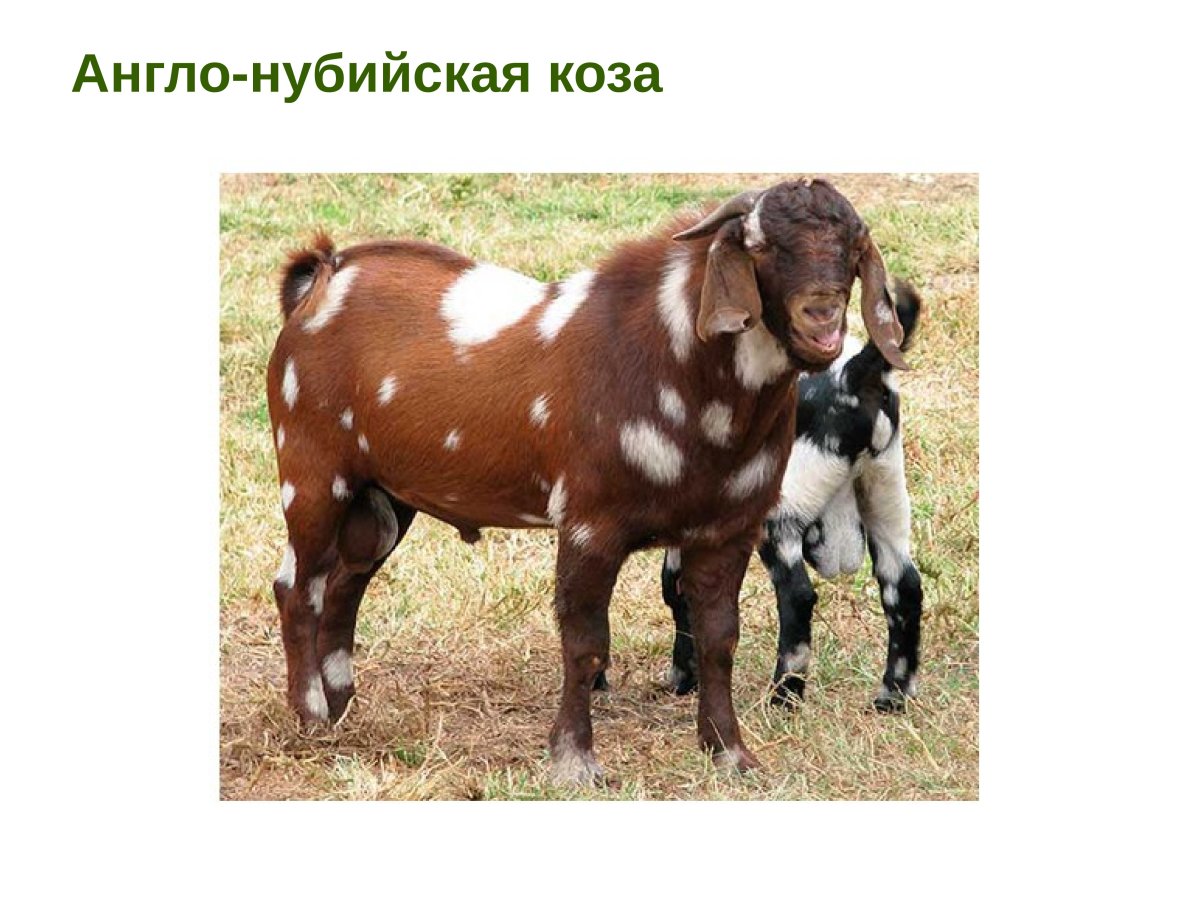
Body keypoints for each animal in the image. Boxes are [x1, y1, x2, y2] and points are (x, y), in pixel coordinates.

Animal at [660, 283, 923, 711]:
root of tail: (854, 375)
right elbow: (678, 587)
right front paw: (687, 678)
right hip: (885, 496)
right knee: (904, 588)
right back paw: (892, 695)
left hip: (781, 514)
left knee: (798, 596)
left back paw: (784, 694)